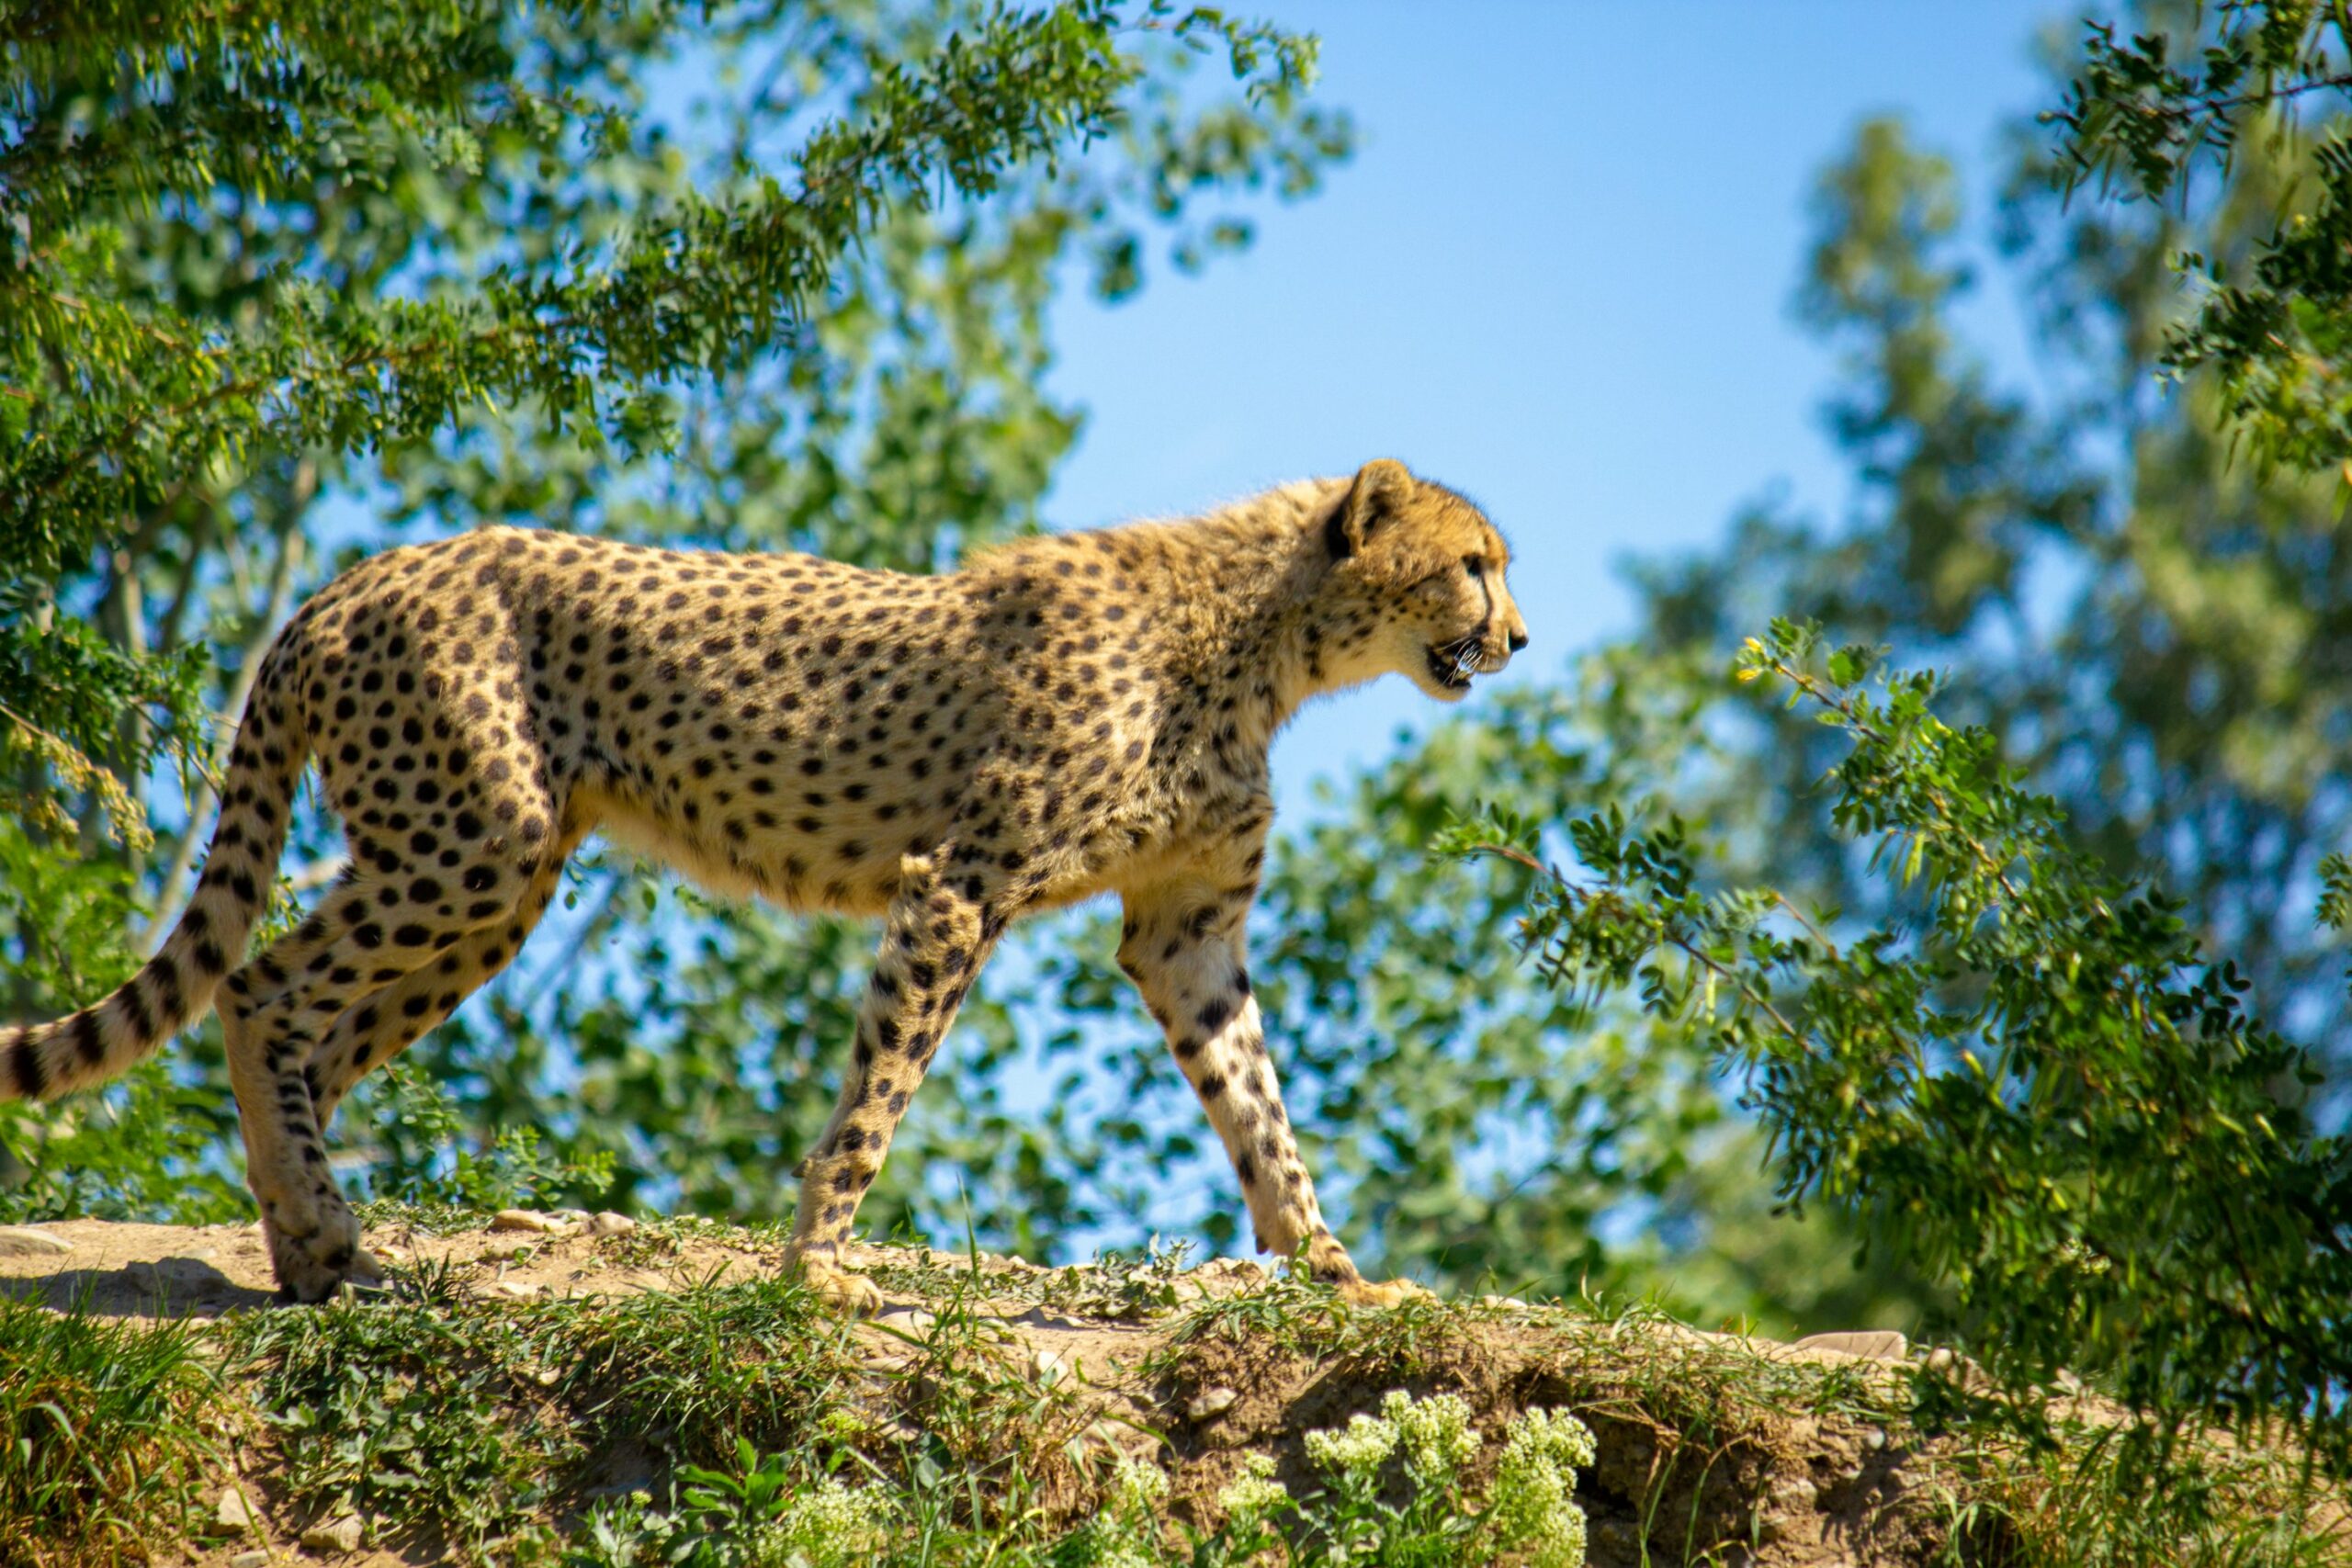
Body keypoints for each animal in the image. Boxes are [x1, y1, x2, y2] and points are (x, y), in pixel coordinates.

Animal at [0, 460, 1533, 1306]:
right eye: (1473, 563)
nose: (1518, 637)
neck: (1267, 638)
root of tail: (357, 573)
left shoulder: (1187, 929)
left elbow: (1259, 1105)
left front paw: (1333, 1267)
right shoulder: (959, 881)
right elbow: (881, 1088)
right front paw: (824, 1266)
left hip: (497, 881)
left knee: (311, 1031)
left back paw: (320, 1254)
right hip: (467, 841)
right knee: (262, 990)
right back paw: (323, 1237)